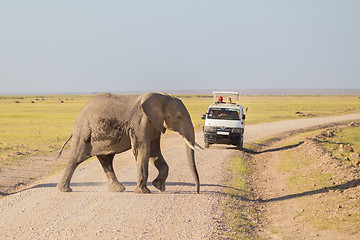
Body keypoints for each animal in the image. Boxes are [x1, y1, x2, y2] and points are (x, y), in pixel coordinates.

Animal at [57, 93, 201, 194]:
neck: (162, 96)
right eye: (179, 117)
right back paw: (65, 190)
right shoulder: (140, 122)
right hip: (84, 132)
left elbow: (154, 152)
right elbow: (144, 151)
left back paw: (118, 189)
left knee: (106, 160)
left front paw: (159, 186)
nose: (198, 191)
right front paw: (144, 192)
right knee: (76, 159)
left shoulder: (154, 124)